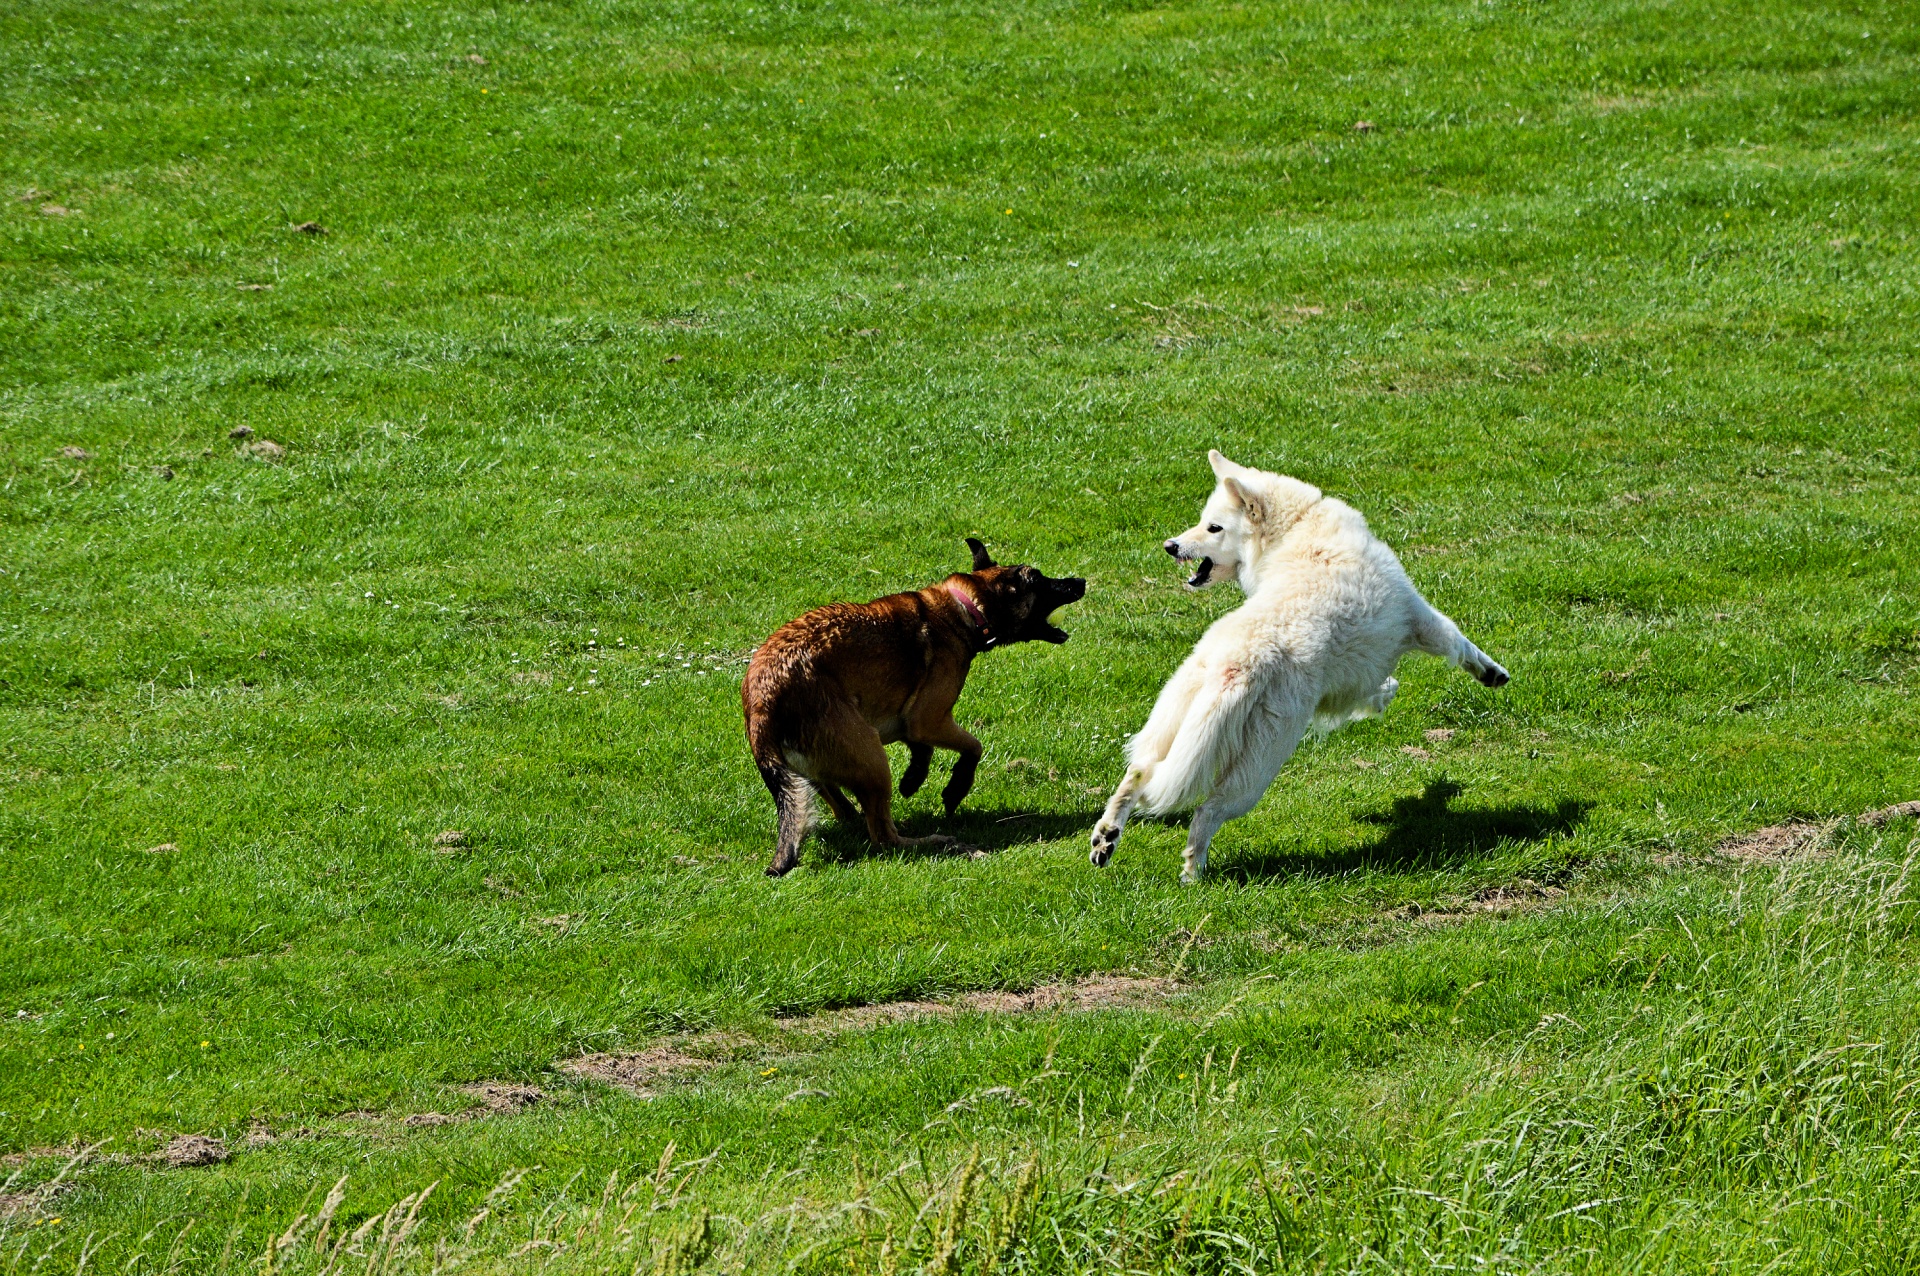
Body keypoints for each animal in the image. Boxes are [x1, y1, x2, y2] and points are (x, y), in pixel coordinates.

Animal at [741, 537, 1090, 874]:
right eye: (1039, 580)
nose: (1081, 581)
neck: (965, 609)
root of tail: (762, 702)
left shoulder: (911, 723)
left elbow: (924, 749)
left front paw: (914, 777)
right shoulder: (930, 719)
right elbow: (973, 747)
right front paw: (956, 788)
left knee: (835, 800)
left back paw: (856, 815)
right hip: (871, 756)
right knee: (884, 837)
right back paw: (936, 842)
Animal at [1090, 452, 1505, 882]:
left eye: (1212, 526)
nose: (1169, 546)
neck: (1298, 527)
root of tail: (1238, 662)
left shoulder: (1351, 673)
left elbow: (1374, 687)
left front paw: (1382, 696)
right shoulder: (1418, 617)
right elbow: (1458, 642)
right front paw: (1492, 674)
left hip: (1175, 724)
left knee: (1138, 773)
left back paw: (1106, 838)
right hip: (1260, 763)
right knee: (1206, 811)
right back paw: (1193, 873)